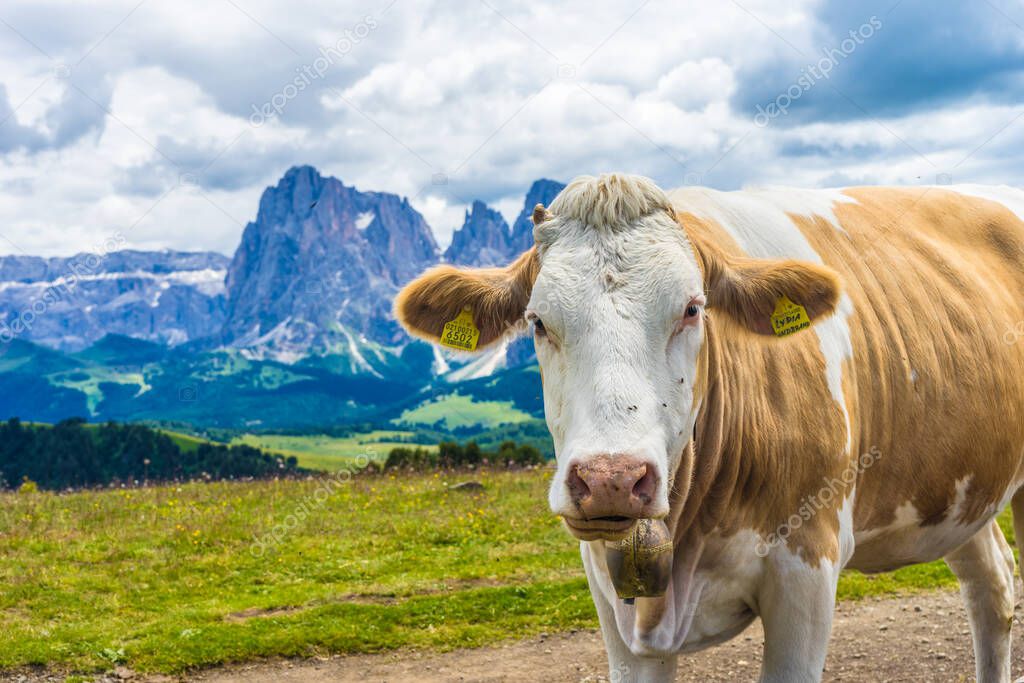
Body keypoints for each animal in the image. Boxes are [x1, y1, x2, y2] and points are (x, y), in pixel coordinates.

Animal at [391, 176, 1024, 683]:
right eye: (538, 321)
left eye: (693, 308)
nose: (611, 480)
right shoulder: (612, 602)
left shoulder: (806, 571)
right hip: (959, 490)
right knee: (991, 586)